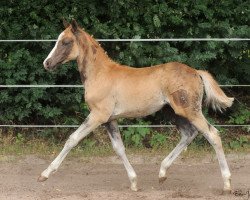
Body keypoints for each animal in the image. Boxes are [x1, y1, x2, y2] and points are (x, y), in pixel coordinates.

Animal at [39, 20, 234, 194]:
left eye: (65, 41)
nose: (46, 63)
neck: (100, 74)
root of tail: (195, 72)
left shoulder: (98, 115)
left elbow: (72, 139)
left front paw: (45, 174)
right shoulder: (110, 119)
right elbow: (119, 148)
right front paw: (133, 182)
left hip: (190, 111)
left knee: (213, 134)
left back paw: (226, 184)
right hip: (173, 113)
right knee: (189, 134)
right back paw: (162, 173)